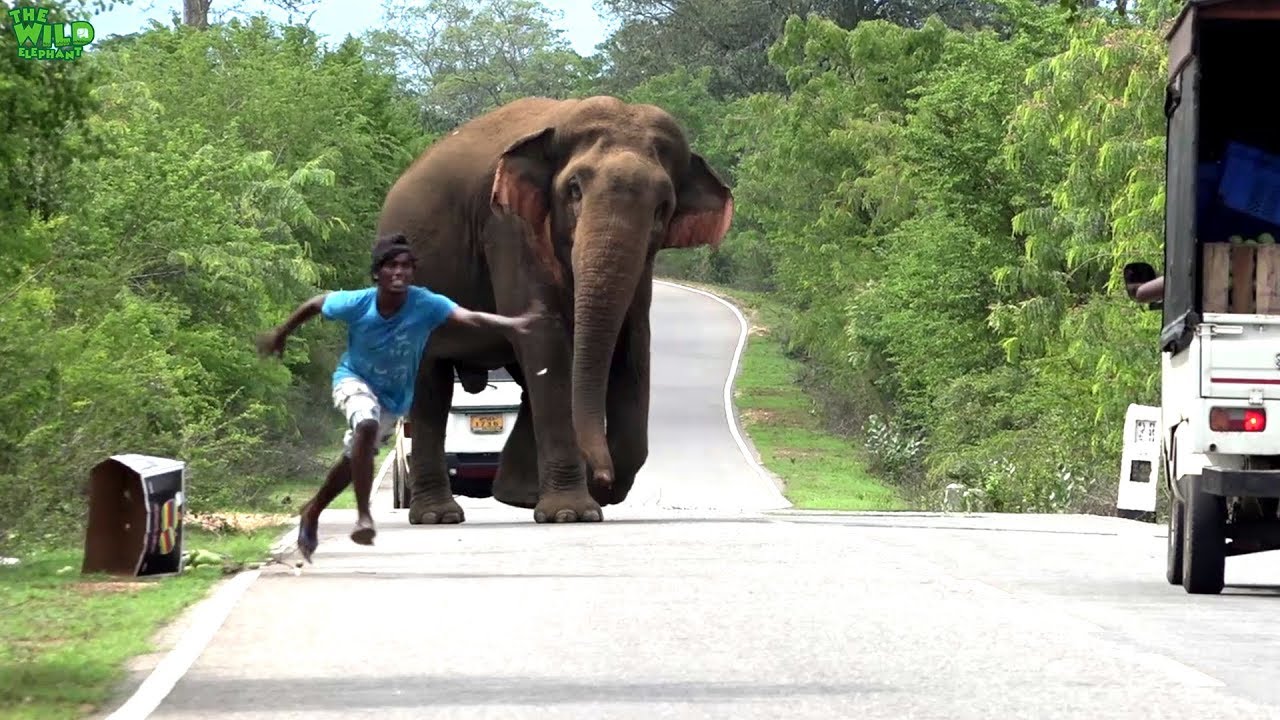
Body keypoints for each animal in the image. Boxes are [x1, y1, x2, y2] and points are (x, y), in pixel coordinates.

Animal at [374, 95, 734, 525]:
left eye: (663, 207)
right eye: (574, 190)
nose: (602, 476)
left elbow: (631, 343)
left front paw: (589, 495)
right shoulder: (506, 228)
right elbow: (544, 333)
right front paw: (572, 513)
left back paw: (517, 495)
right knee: (431, 380)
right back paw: (438, 517)